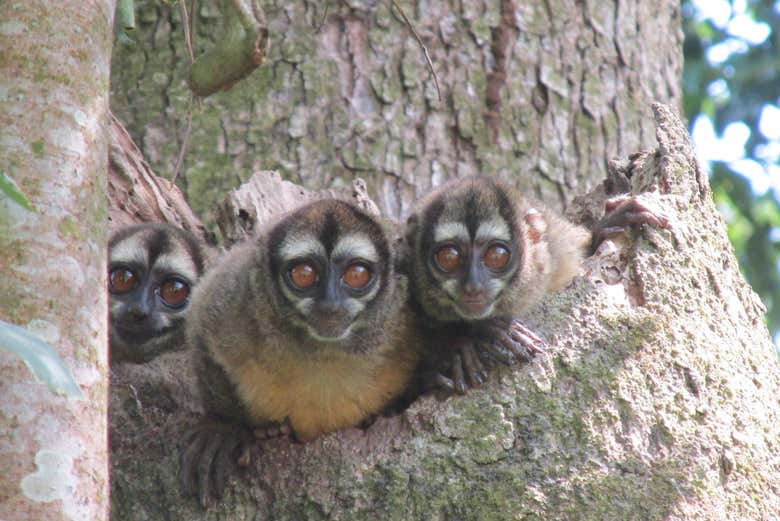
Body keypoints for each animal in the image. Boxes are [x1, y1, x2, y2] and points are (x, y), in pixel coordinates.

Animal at [180, 199, 419, 507]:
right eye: (304, 274)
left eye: (356, 274)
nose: (331, 305)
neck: (323, 349)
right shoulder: (234, 295)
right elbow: (201, 324)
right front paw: (223, 427)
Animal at [403, 177, 669, 394]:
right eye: (449, 257)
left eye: (497, 255)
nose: (473, 285)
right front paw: (472, 340)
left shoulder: (559, 253)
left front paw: (611, 222)